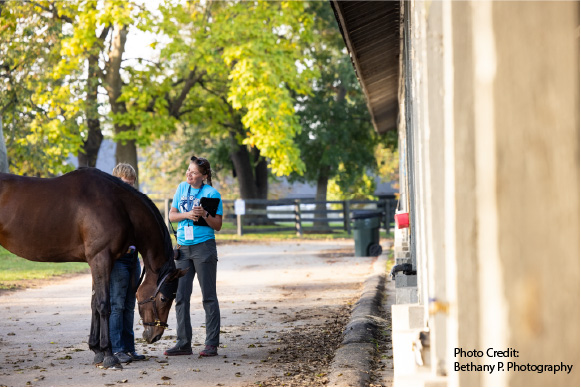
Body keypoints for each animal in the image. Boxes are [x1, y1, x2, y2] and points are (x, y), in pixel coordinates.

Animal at [0, 168, 186, 368]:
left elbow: (94, 304)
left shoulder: (95, 262)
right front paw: (109, 355)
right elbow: (104, 305)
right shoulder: (101, 258)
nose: (155, 336)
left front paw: (97, 351)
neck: (119, 205)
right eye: (163, 298)